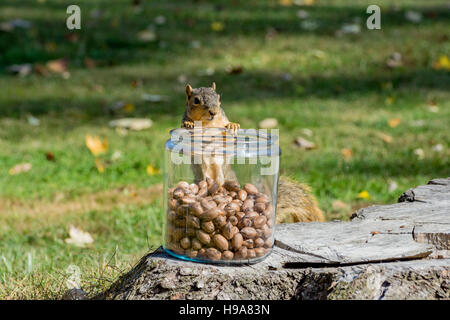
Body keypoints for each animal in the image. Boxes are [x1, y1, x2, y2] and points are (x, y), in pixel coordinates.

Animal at [181, 82, 326, 222]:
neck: (207, 124)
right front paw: (188, 124)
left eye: (219, 98)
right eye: (196, 100)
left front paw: (232, 125)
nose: (213, 112)